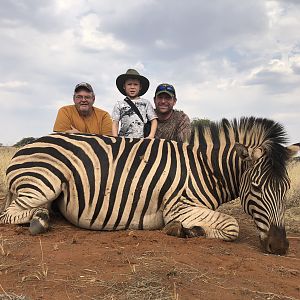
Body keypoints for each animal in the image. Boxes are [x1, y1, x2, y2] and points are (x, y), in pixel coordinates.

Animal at [1, 117, 298, 255]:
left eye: (286, 189)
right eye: (256, 188)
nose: (280, 247)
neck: (203, 168)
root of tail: (26, 146)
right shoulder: (179, 207)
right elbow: (232, 225)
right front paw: (184, 231)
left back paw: (44, 215)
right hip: (44, 182)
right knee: (9, 214)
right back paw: (40, 220)